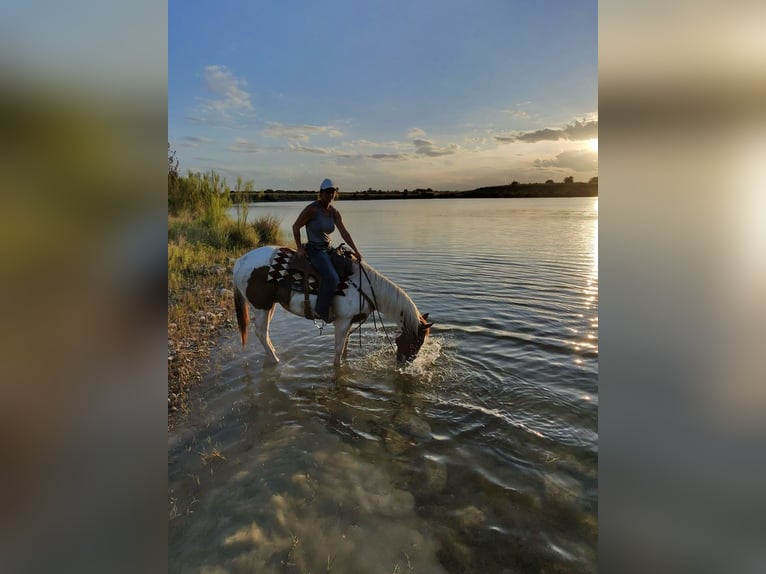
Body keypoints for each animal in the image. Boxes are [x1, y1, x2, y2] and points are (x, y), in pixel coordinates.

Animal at [232, 245, 433, 366]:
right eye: (416, 341)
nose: (404, 363)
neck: (365, 287)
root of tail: (240, 262)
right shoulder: (343, 321)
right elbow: (338, 349)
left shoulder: (349, 322)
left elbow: (344, 347)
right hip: (261, 306)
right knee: (261, 332)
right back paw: (276, 360)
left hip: (270, 306)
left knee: (264, 334)